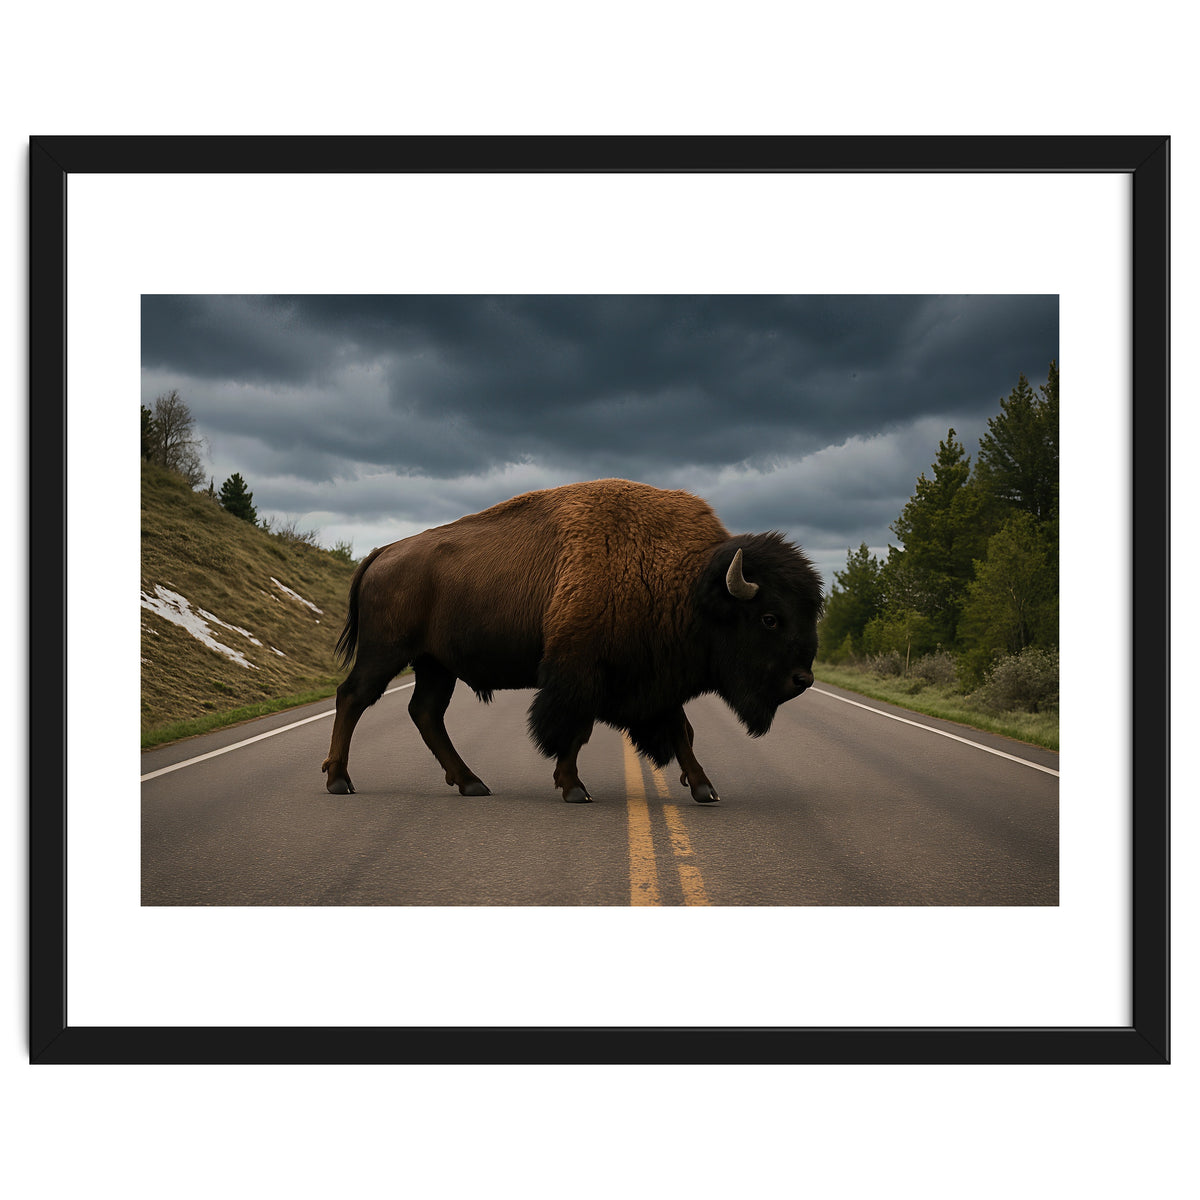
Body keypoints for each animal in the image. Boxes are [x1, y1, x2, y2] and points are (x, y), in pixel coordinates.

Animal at [322, 479, 823, 803]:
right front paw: (574, 787)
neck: (687, 582)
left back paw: (471, 783)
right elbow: (575, 729)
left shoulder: (653, 681)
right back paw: (339, 781)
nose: (803, 679)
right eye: (770, 618)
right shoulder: (581, 673)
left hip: (434, 665)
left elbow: (680, 730)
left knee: (425, 713)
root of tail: (382, 552)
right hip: (387, 652)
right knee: (353, 697)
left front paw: (704, 788)